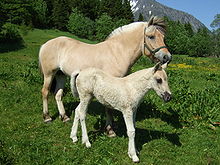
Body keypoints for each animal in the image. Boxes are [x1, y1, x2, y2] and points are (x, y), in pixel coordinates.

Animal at [38, 16, 172, 136]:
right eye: (151, 36)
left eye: (163, 37)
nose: (167, 57)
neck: (118, 52)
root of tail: (45, 44)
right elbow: (108, 108)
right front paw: (110, 130)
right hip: (49, 74)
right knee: (45, 92)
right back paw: (47, 117)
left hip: (60, 75)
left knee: (58, 94)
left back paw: (64, 117)